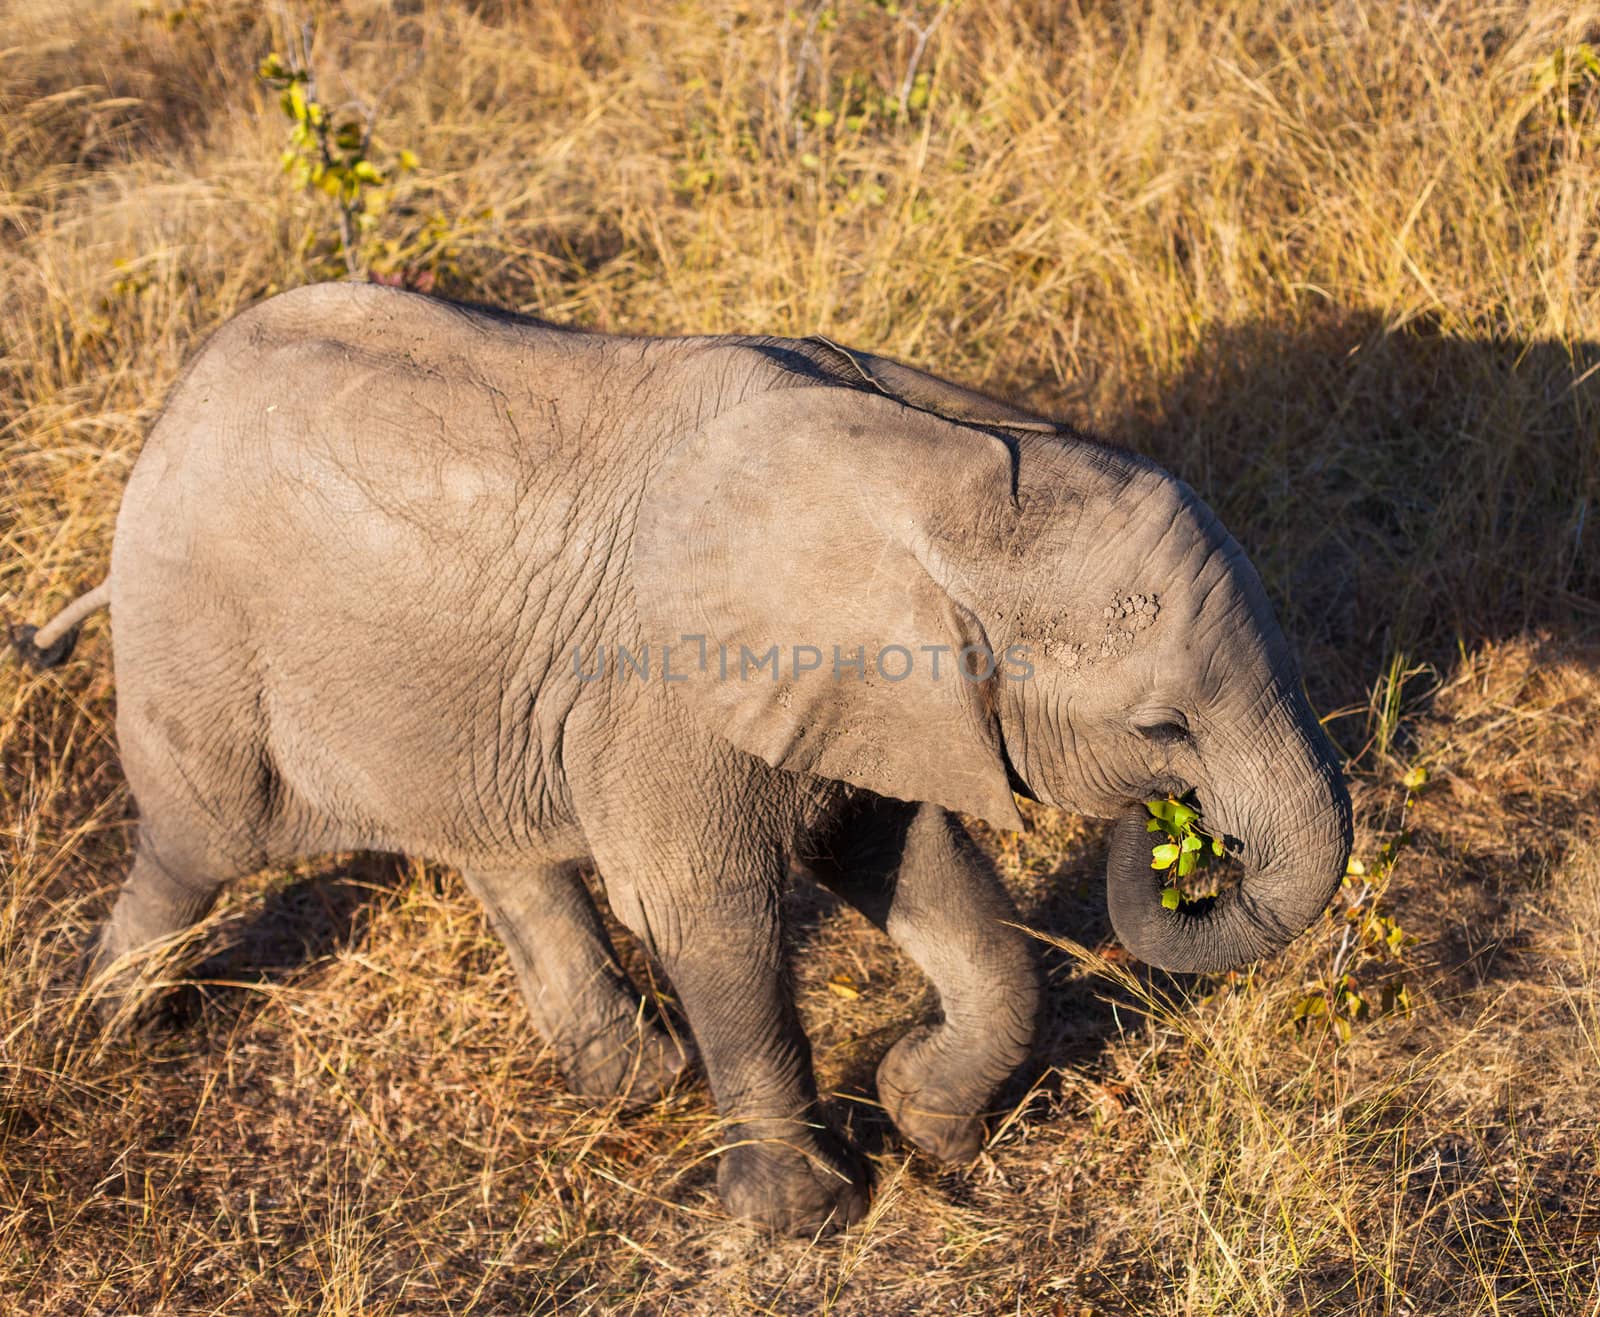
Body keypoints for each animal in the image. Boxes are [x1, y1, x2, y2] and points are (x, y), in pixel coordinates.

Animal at [21, 286, 1350, 1235]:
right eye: (1161, 729)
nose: (1180, 832)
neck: (941, 462)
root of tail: (169, 415)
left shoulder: (863, 690)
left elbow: (917, 868)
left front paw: (923, 1119)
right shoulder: (669, 691)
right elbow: (707, 908)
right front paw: (803, 1223)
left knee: (492, 843)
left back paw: (634, 1084)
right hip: (198, 629)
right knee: (200, 840)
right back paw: (107, 1029)